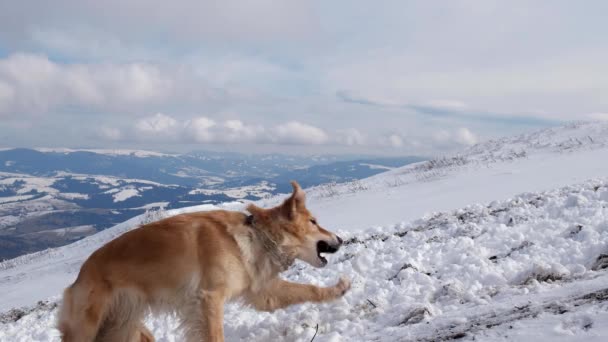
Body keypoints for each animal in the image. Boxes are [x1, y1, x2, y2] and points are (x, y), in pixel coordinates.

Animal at [58, 180, 352, 340]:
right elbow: (215, 335)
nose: (340, 238)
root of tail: (78, 277)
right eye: (314, 222)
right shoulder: (208, 300)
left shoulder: (262, 292)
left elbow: (307, 290)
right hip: (87, 328)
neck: (256, 236)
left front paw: (338, 289)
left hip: (121, 327)